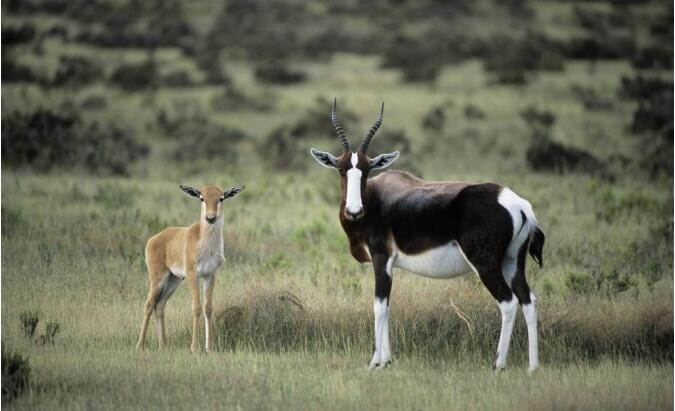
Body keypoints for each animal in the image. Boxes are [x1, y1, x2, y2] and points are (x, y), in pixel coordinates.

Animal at [136, 185, 244, 352]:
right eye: (201, 198)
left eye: (221, 198)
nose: (210, 218)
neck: (205, 246)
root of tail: (153, 239)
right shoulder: (193, 275)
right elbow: (196, 307)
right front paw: (194, 347)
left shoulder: (210, 275)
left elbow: (208, 307)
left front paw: (209, 347)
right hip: (158, 279)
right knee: (148, 304)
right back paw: (139, 345)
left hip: (173, 281)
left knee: (159, 305)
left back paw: (163, 345)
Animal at [310, 100, 544, 374]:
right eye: (341, 170)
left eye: (366, 170)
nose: (354, 211)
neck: (377, 198)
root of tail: (517, 204)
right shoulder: (390, 264)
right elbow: (387, 306)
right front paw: (387, 360)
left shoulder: (381, 258)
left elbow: (378, 305)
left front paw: (375, 362)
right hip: (512, 263)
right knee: (529, 301)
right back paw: (532, 367)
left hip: (485, 264)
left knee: (508, 302)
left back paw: (498, 365)